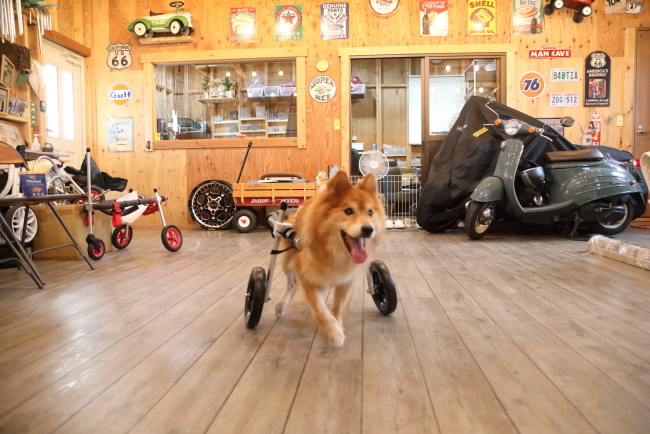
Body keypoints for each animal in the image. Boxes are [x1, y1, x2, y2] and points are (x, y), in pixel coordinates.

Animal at [274, 171, 384, 348]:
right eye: (348, 211)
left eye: (370, 213)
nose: (369, 229)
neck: (334, 252)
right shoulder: (308, 279)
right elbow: (320, 311)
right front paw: (334, 333)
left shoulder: (345, 279)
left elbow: (338, 307)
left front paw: (337, 325)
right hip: (286, 261)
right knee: (291, 284)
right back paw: (281, 305)